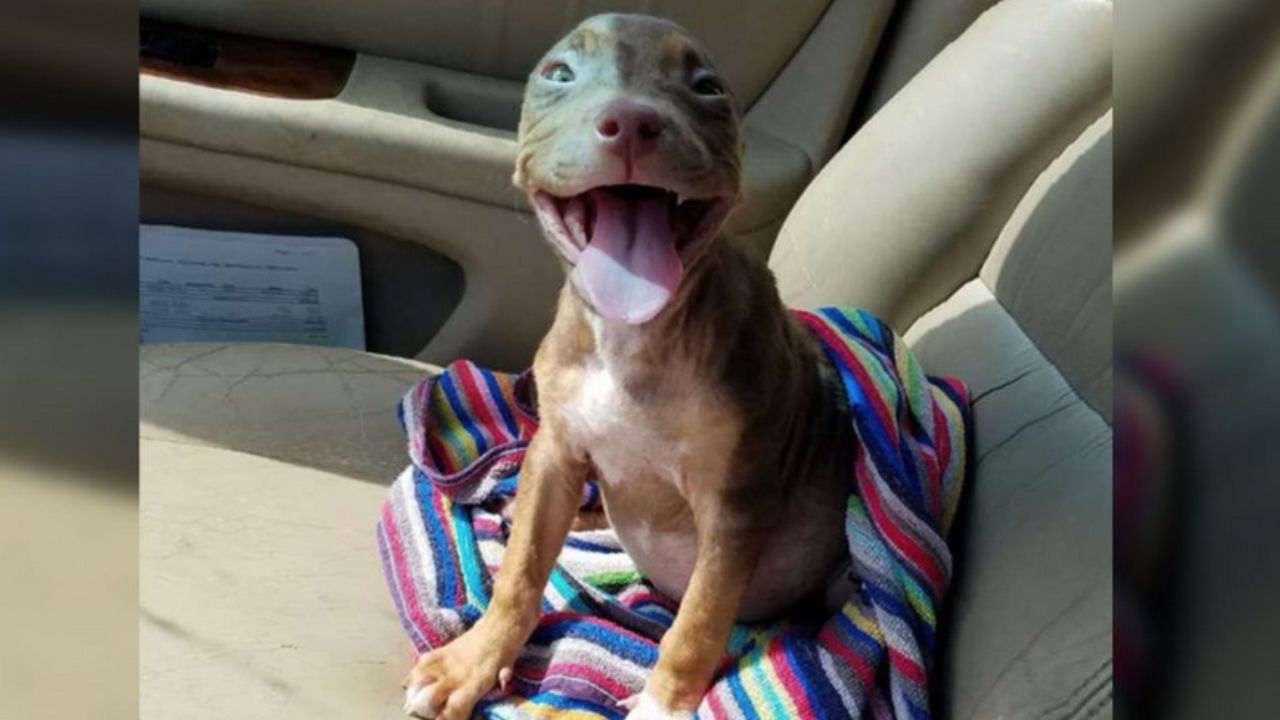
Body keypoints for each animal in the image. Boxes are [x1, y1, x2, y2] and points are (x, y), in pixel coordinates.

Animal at [404, 12, 855, 717]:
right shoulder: (555, 452)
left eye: (707, 87)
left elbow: (698, 621)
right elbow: (521, 572)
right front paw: (471, 662)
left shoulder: (736, 505)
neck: (633, 338)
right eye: (559, 73)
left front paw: (665, 703)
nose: (632, 120)